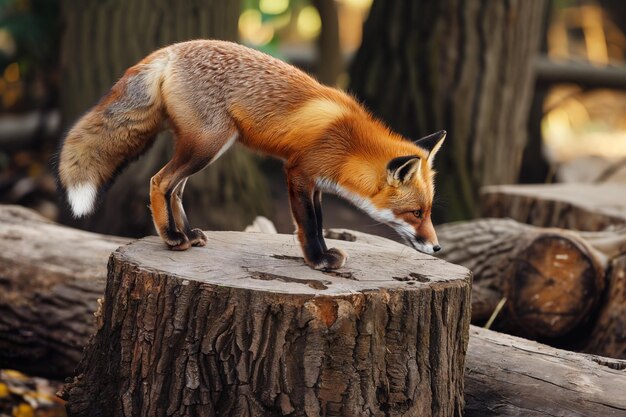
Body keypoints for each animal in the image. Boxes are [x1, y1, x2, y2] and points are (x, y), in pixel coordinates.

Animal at [57, 40, 444, 270]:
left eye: (428, 212)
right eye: (416, 213)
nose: (438, 248)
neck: (348, 144)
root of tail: (170, 50)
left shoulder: (316, 182)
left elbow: (318, 221)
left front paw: (321, 255)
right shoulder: (298, 172)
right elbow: (309, 224)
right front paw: (318, 259)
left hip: (203, 148)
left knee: (175, 189)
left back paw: (188, 233)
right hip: (208, 146)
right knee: (159, 182)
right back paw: (171, 238)